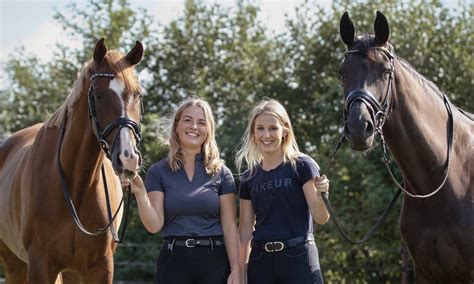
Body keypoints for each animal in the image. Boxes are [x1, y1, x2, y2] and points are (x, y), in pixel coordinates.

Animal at [0, 38, 144, 282]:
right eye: (98, 95)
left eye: (138, 95)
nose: (128, 158)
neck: (76, 186)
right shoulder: (40, 264)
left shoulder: (101, 267)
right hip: (15, 266)